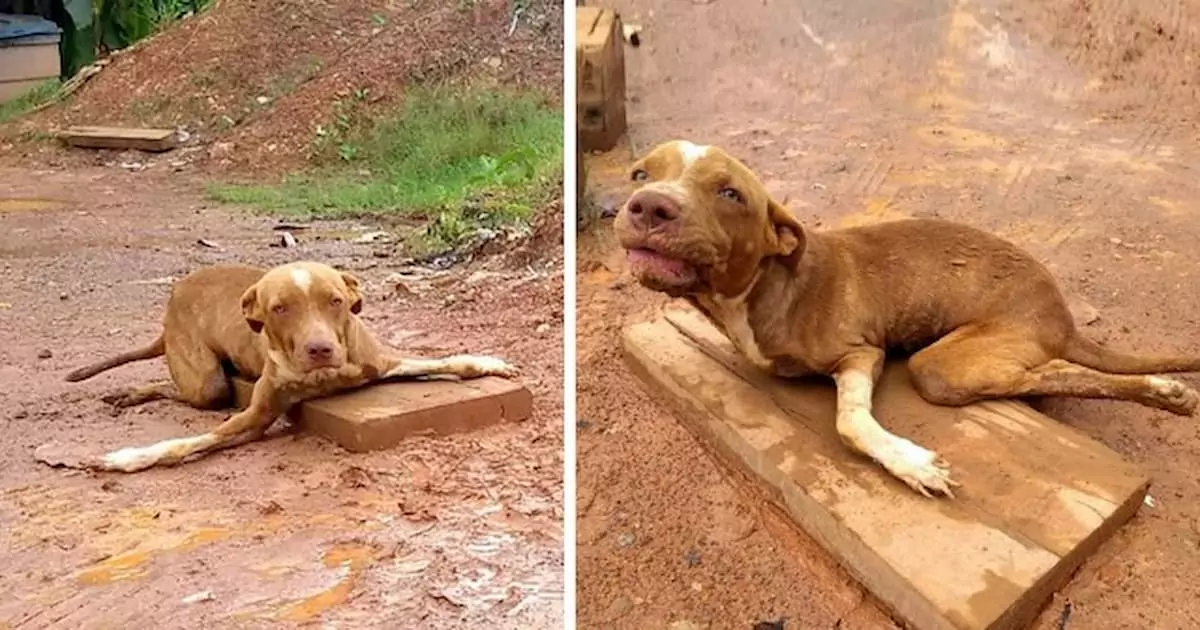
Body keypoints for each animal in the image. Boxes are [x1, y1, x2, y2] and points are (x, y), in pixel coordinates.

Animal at [39, 260, 518, 470]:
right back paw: (132, 393)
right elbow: (182, 444)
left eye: (335, 301)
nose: (320, 349)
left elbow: (453, 361)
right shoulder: (255, 415)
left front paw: (489, 361)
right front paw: (121, 459)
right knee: (185, 387)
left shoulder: (380, 362)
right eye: (279, 308)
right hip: (205, 381)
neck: (323, 376)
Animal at [614, 139, 1200, 499]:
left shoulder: (860, 353)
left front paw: (911, 463)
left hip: (942, 366)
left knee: (1056, 372)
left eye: (730, 193)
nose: (649, 205)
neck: (759, 290)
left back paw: (1164, 392)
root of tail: (1061, 313)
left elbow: (850, 422)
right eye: (640, 174)